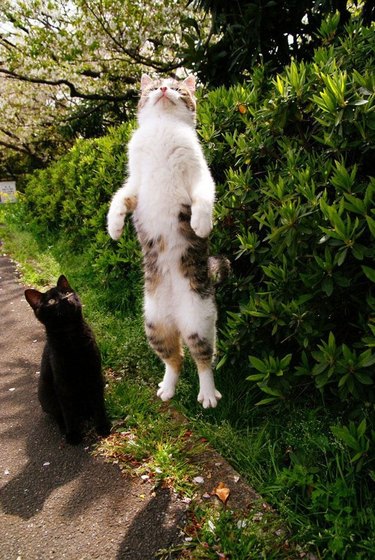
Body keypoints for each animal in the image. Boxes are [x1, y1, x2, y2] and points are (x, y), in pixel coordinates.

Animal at [24, 276, 110, 446]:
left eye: (67, 292)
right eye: (51, 301)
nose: (65, 298)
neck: (72, 338)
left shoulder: (95, 375)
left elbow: (98, 404)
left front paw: (102, 426)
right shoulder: (63, 384)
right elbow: (68, 413)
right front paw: (73, 434)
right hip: (46, 396)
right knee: (59, 414)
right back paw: (64, 427)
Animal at [106, 73, 229, 406]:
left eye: (177, 88)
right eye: (152, 87)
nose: (162, 88)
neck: (162, 129)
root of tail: (175, 316)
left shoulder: (200, 174)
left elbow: (204, 196)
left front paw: (201, 224)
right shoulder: (134, 181)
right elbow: (119, 198)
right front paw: (114, 227)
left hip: (200, 322)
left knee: (202, 359)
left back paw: (207, 393)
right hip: (154, 325)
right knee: (175, 359)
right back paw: (167, 387)